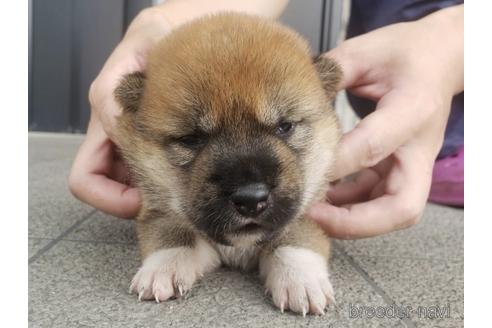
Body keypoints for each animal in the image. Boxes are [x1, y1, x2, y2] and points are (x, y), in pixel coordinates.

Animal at [113, 12, 340, 316]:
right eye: (191, 139)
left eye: (285, 126)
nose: (251, 199)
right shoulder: (158, 209)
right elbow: (172, 232)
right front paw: (164, 267)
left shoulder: (309, 209)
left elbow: (294, 235)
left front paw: (300, 278)